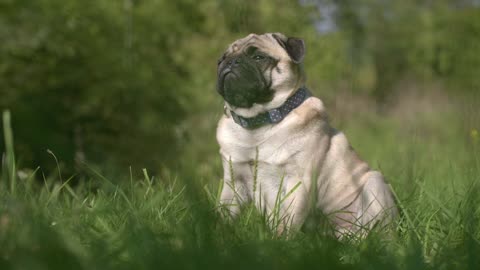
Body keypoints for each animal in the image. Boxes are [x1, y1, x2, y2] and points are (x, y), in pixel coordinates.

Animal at [216, 33, 396, 236]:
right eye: (221, 60)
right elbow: (223, 213)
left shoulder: (298, 182)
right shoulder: (233, 183)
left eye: (258, 57)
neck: (258, 125)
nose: (231, 62)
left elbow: (287, 223)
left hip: (375, 184)